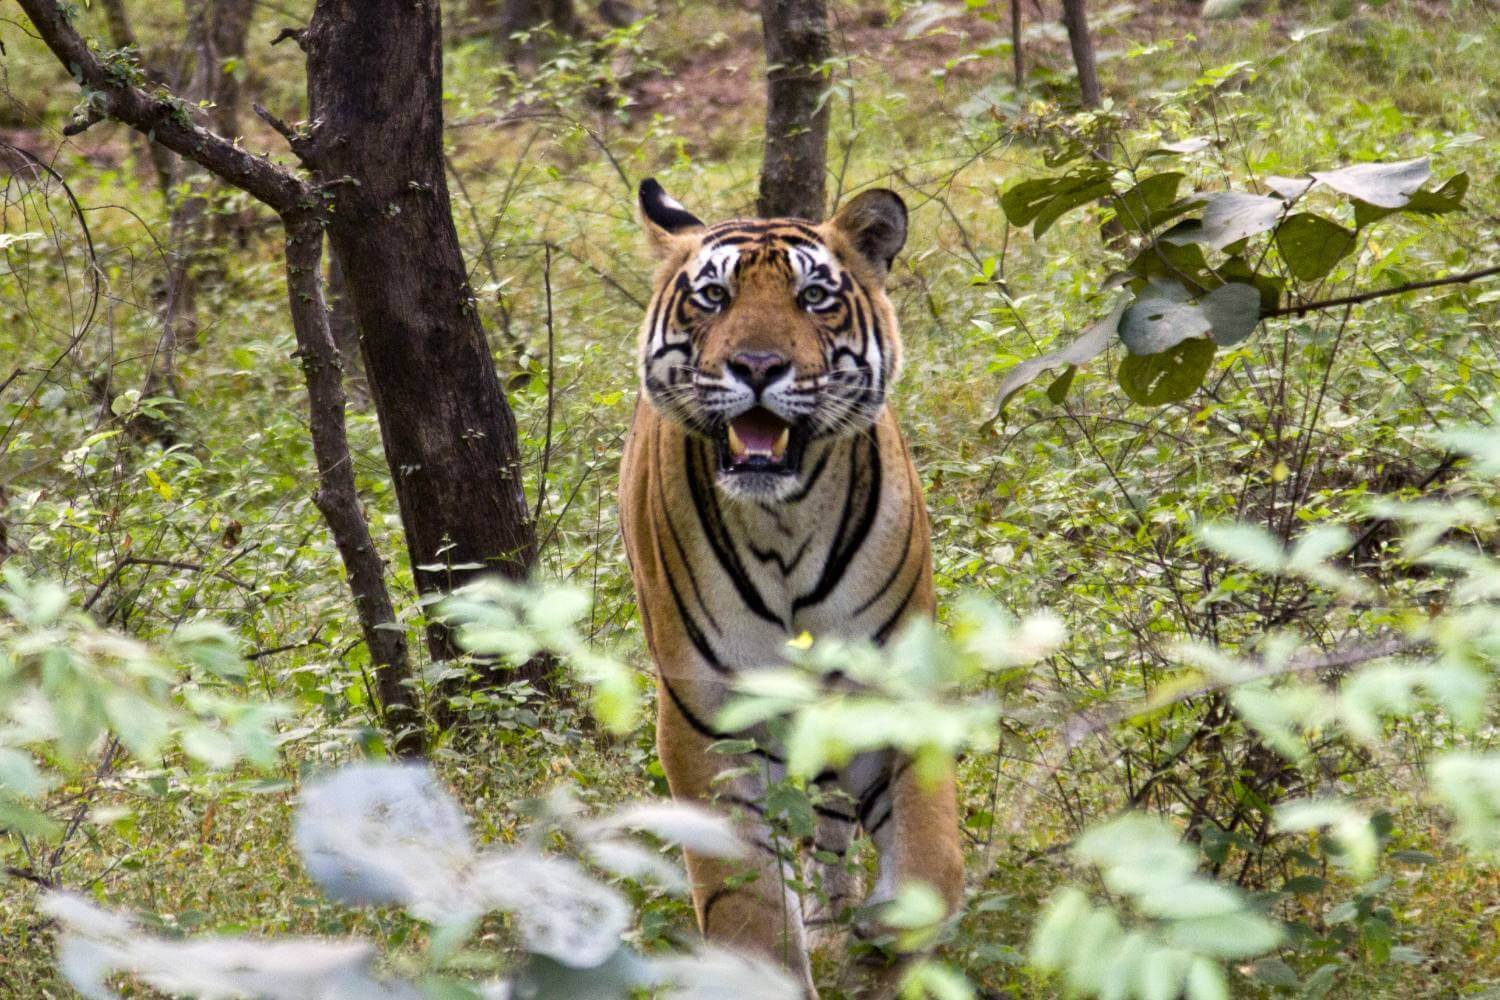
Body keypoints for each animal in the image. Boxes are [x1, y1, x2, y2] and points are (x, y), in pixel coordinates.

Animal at [618, 177, 960, 995]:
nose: (757, 366)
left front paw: (886, 931)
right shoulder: (710, 721)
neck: (785, 522)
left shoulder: (900, 691)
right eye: (713, 297)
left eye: (814, 297)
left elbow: (931, 857)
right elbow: (747, 909)